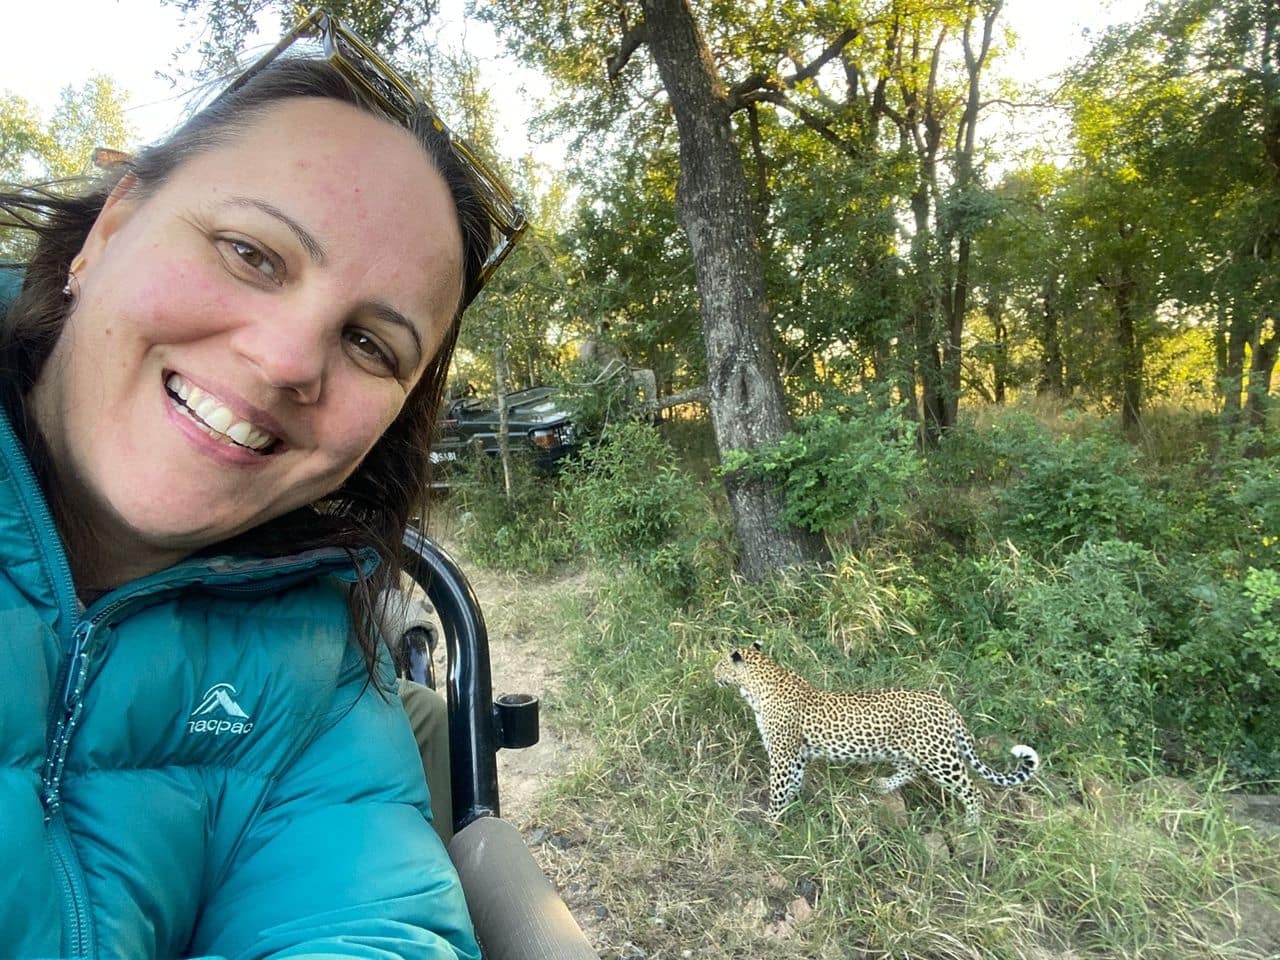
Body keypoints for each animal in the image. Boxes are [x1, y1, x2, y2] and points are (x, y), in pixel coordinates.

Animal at [713, 642, 1040, 825]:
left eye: (720, 663)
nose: (712, 673)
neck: (757, 688)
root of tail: (946, 704)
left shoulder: (783, 753)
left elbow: (779, 788)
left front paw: (770, 821)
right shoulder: (797, 755)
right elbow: (793, 783)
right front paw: (789, 810)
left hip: (939, 757)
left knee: (970, 789)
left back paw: (971, 825)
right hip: (902, 748)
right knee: (912, 770)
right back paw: (883, 785)